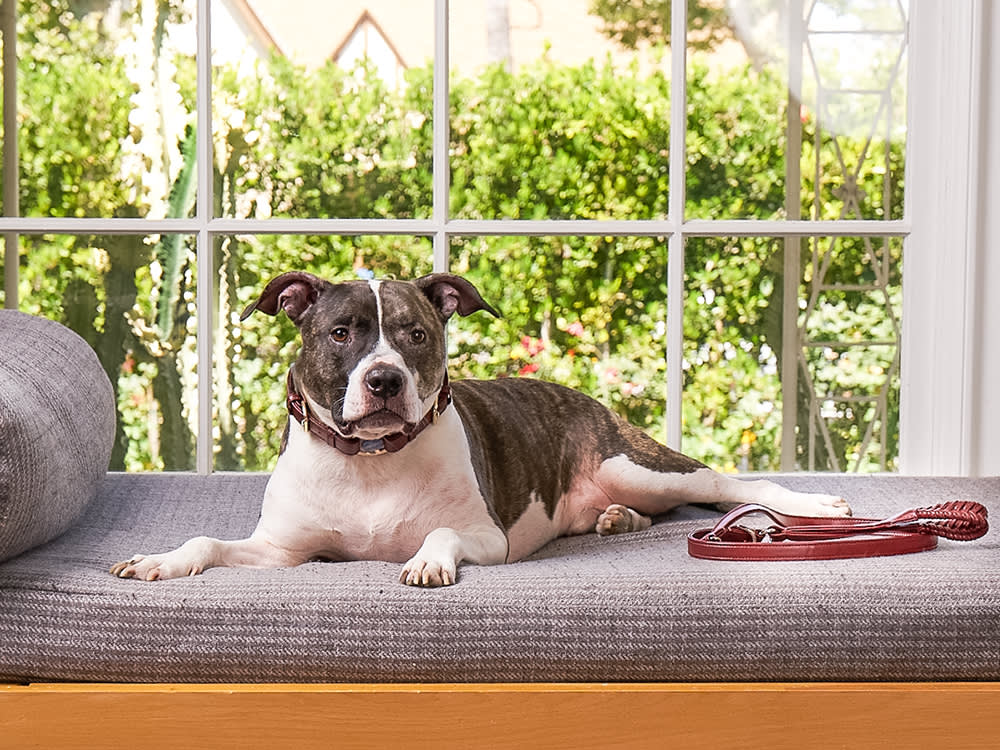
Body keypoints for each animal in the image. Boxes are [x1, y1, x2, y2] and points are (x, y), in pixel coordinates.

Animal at [115, 274, 852, 592]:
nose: (385, 380)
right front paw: (161, 560)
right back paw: (616, 520)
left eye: (416, 333)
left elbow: (441, 533)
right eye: (342, 332)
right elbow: (208, 541)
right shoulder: (280, 551)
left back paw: (814, 505)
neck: (371, 460)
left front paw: (427, 561)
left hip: (635, 462)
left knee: (731, 483)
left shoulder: (487, 537)